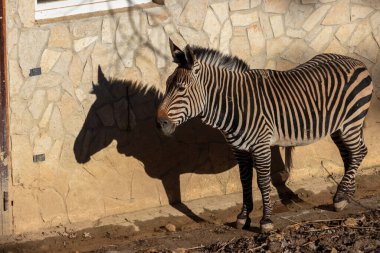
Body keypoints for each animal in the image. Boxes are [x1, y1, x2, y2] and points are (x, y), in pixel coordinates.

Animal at [156, 40, 372, 233]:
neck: (234, 103)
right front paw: (243, 217)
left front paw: (266, 221)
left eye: (181, 89)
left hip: (351, 122)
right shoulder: (239, 149)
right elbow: (245, 181)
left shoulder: (260, 145)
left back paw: (340, 198)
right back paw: (346, 194)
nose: (159, 123)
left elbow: (262, 182)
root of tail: (355, 61)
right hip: (339, 126)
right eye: (166, 85)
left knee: (359, 151)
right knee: (349, 154)